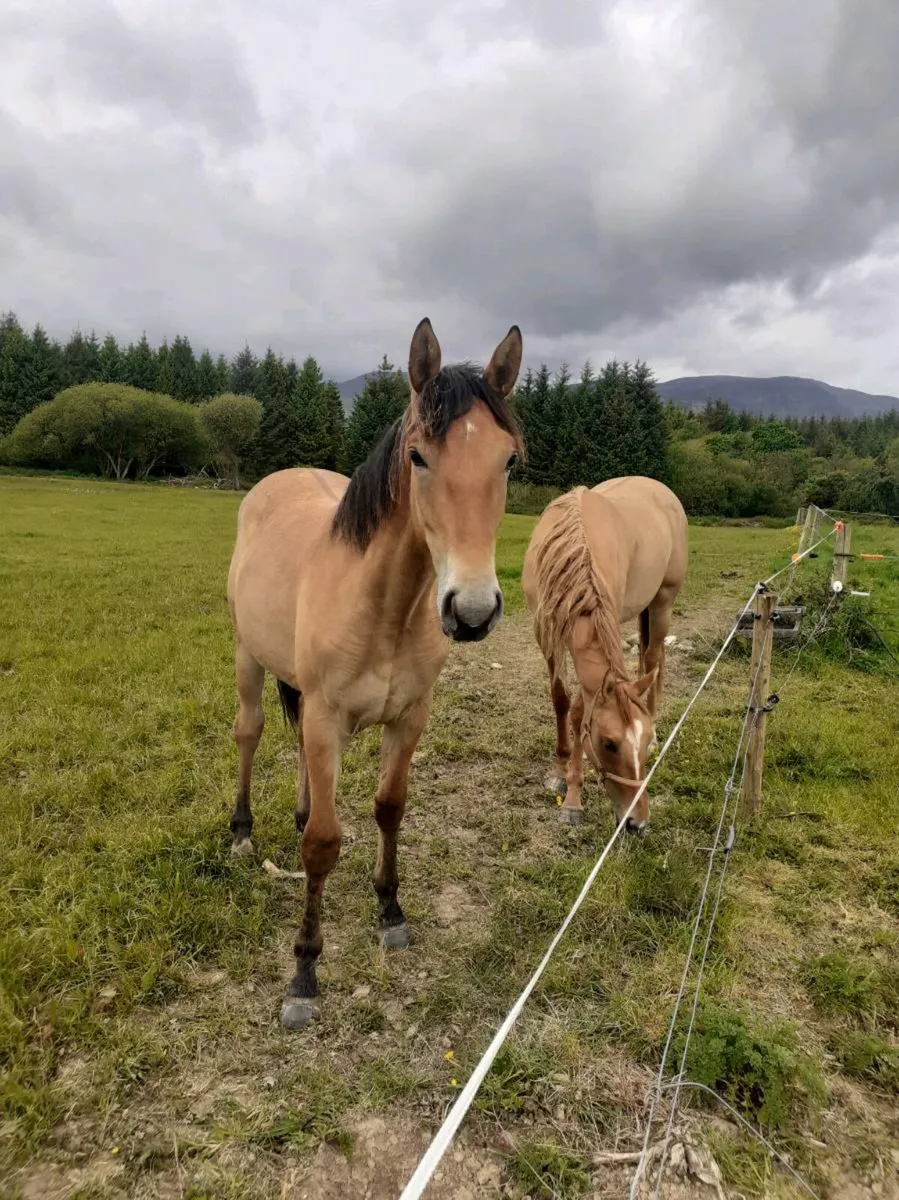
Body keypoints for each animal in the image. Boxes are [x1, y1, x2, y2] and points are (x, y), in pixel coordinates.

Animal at [226, 318, 523, 1031]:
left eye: (507, 460)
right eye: (418, 457)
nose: (472, 612)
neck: (383, 606)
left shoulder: (409, 718)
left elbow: (390, 807)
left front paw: (390, 911)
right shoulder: (327, 717)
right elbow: (323, 846)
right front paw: (304, 974)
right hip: (249, 658)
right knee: (250, 731)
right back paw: (242, 832)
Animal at [522, 477, 688, 831]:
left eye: (640, 744)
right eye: (609, 744)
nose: (638, 823)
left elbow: (579, 712)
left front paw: (573, 797)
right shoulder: (548, 635)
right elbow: (561, 700)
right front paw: (559, 773)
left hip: (663, 602)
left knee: (653, 657)